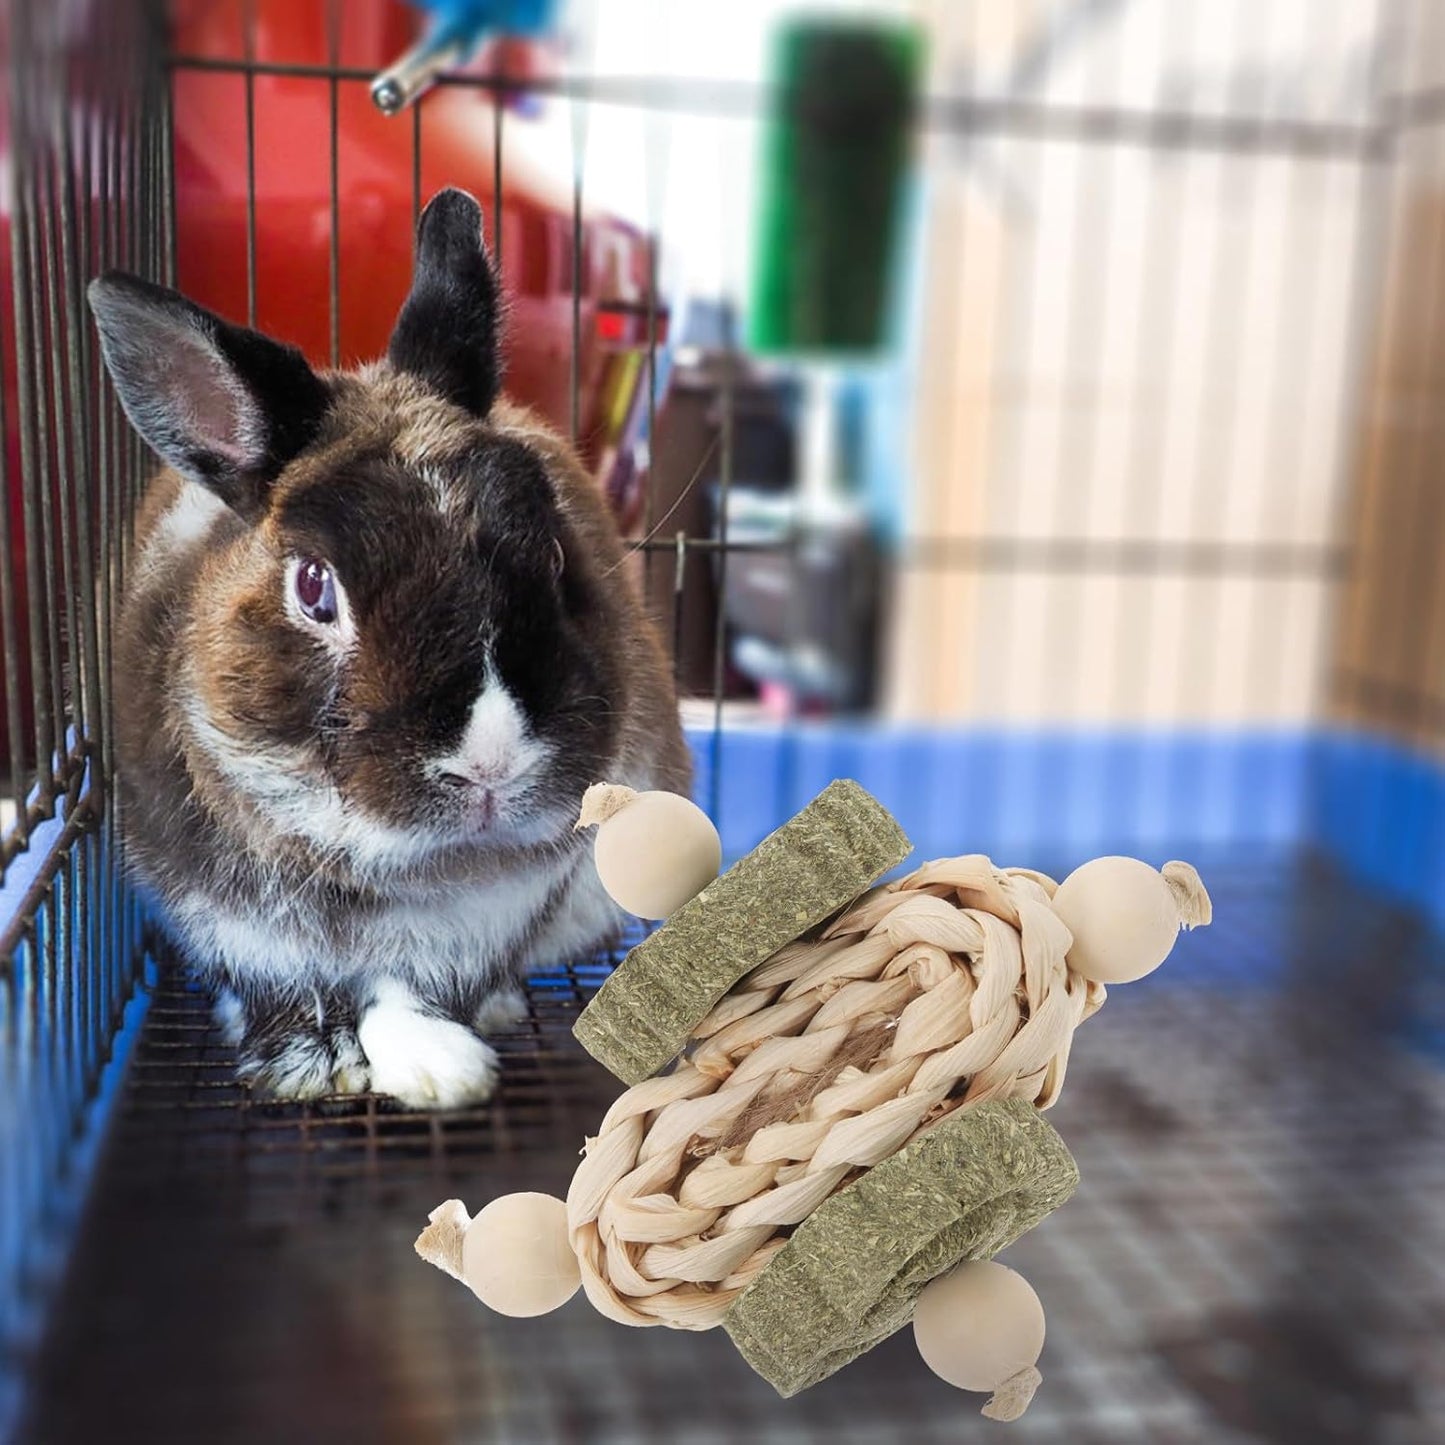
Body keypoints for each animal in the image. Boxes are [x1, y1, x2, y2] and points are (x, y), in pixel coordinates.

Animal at [88, 188, 690, 1108]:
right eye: (313, 587)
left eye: (557, 559)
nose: (488, 765)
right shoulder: (225, 919)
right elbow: (276, 990)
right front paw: (304, 1066)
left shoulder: (475, 925)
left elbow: (407, 991)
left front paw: (439, 1067)